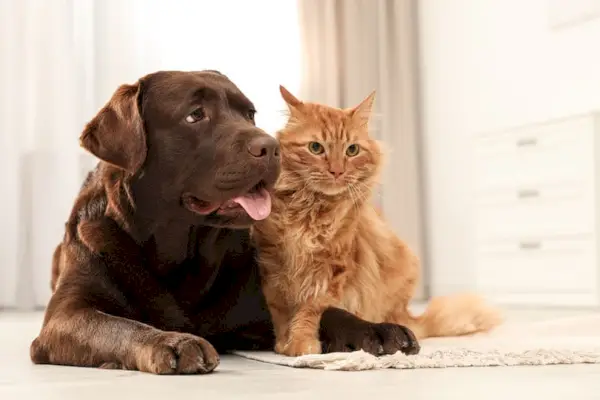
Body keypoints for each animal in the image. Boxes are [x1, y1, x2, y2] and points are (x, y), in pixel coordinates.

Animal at [30, 70, 420, 374]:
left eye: (249, 114)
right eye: (195, 115)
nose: (271, 148)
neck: (178, 251)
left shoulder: (265, 305)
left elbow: (318, 311)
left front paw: (377, 329)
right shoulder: (66, 316)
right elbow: (118, 326)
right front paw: (172, 341)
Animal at [251, 87, 504, 356]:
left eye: (352, 150)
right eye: (316, 148)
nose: (337, 171)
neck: (311, 210)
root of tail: (405, 314)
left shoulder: (332, 270)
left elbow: (311, 310)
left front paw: (301, 343)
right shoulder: (273, 265)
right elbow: (281, 313)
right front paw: (284, 344)